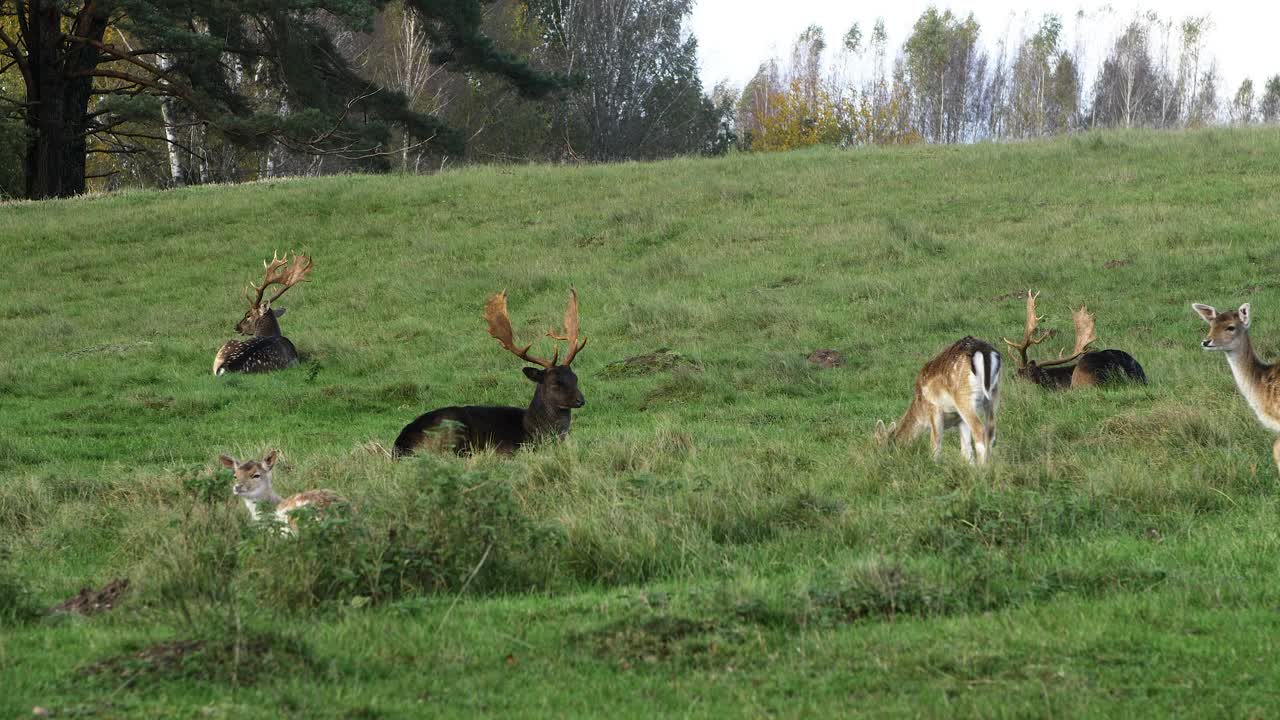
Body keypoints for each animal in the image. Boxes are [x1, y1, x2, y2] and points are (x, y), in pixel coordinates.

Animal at [391, 285, 586, 453]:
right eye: (555, 383)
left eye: (575, 378)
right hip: (451, 431)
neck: (532, 429)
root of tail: (399, 445)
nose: (581, 400)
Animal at [875, 335, 1003, 461]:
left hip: (964, 397)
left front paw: (934, 463)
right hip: (994, 394)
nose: (879, 459)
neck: (920, 410)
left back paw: (982, 466)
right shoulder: (960, 420)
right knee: (991, 431)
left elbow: (935, 444)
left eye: (879, 444)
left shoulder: (933, 408)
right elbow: (966, 450)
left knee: (979, 429)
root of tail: (983, 350)